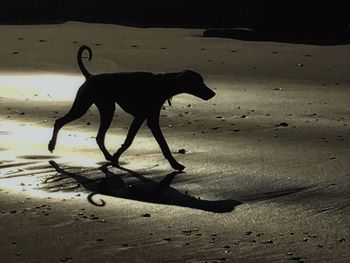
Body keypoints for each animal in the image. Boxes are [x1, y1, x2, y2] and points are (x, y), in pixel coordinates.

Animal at [47, 46, 215, 171]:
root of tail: (90, 76)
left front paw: (116, 157)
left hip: (106, 108)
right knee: (59, 122)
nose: (213, 93)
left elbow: (129, 140)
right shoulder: (148, 119)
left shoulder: (142, 117)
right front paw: (175, 164)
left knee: (99, 137)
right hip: (85, 107)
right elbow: (160, 144)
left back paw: (108, 157)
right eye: (199, 82)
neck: (163, 84)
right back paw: (52, 145)